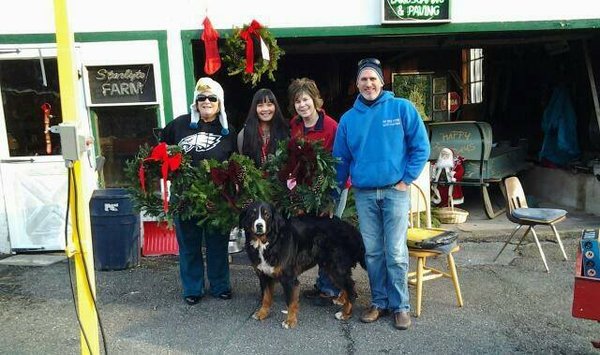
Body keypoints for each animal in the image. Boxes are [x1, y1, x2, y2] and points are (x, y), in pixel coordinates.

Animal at [239, 202, 366, 330]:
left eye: (267, 215)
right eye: (252, 214)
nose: (259, 225)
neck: (267, 243)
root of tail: (352, 228)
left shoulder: (289, 279)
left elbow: (291, 302)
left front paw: (290, 321)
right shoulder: (264, 275)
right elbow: (266, 297)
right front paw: (262, 313)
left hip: (336, 266)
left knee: (351, 287)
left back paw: (345, 313)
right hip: (329, 265)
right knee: (347, 285)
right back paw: (341, 299)